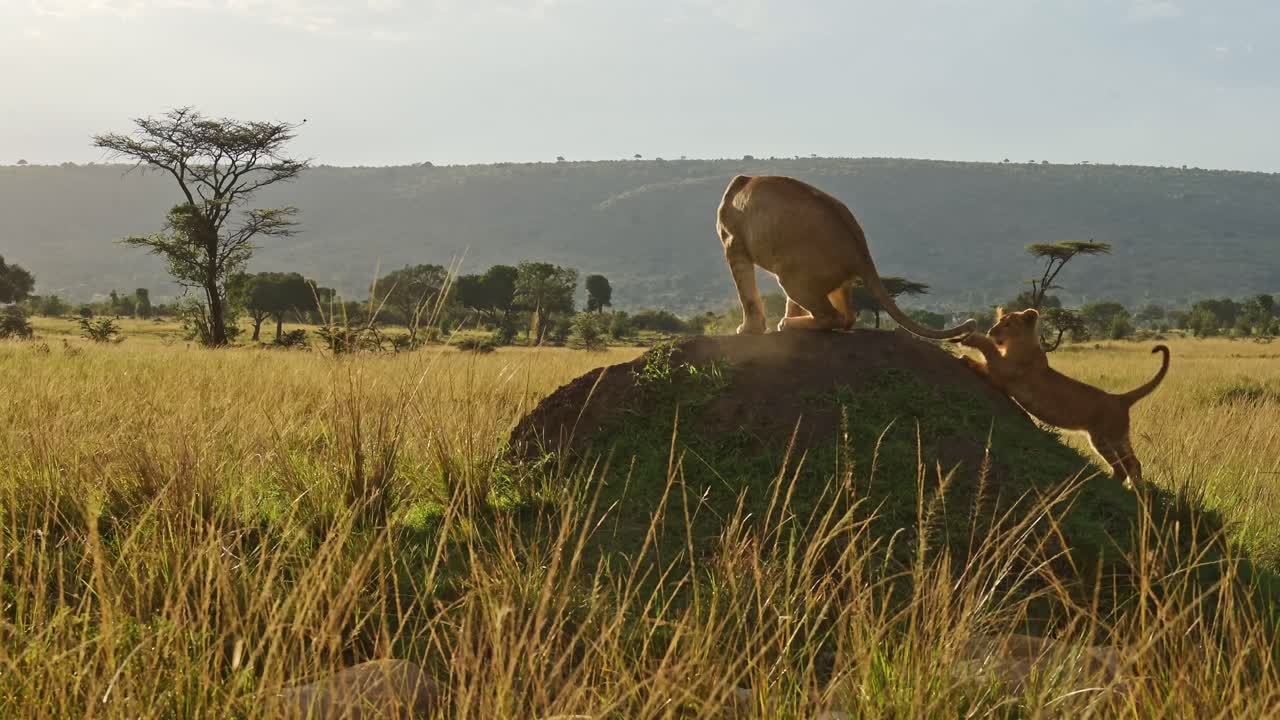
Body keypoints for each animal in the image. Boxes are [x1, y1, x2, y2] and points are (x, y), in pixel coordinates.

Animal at [716, 175, 976, 339]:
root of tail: (860, 247)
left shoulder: (733, 243)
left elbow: (746, 293)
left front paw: (749, 329)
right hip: (830, 281)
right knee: (847, 317)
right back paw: (793, 322)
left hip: (793, 278)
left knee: (832, 317)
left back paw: (789, 324)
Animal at [956, 307, 1170, 490]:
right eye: (998, 321)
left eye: (1007, 324)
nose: (991, 331)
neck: (1019, 343)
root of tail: (1120, 398)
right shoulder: (998, 375)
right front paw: (966, 353)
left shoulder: (1003, 371)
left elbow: (988, 350)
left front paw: (968, 341)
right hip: (1120, 437)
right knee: (1134, 462)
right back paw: (1137, 489)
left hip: (1102, 438)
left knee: (1121, 468)